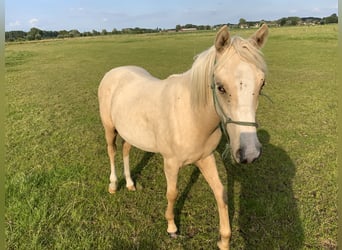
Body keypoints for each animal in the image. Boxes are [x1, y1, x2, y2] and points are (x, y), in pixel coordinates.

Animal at [97, 23, 268, 250]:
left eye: (262, 84)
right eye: (221, 87)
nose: (249, 153)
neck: (191, 114)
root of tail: (114, 72)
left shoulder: (205, 158)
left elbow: (220, 192)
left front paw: (224, 239)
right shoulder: (170, 163)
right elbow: (172, 193)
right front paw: (171, 227)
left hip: (130, 133)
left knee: (125, 150)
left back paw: (131, 184)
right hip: (109, 129)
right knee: (112, 151)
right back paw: (114, 185)